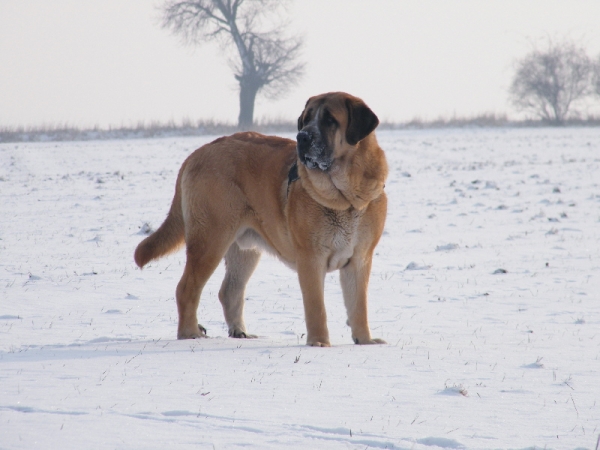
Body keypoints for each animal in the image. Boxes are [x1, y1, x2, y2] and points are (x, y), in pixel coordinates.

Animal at [134, 90, 390, 344]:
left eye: (329, 120)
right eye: (306, 119)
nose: (302, 137)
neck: (346, 198)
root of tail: (198, 153)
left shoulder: (359, 259)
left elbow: (358, 306)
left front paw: (365, 341)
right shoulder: (311, 258)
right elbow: (317, 307)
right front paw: (319, 342)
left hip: (244, 250)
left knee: (229, 291)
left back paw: (240, 332)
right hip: (210, 241)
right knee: (187, 288)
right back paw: (190, 333)